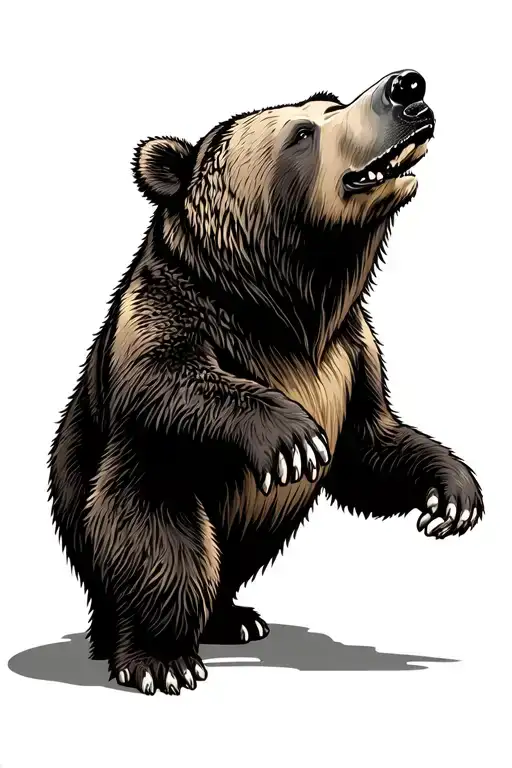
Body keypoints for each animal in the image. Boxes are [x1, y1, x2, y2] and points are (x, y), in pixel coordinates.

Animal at [49, 69, 483, 696]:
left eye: (332, 104)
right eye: (302, 133)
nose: (406, 86)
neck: (285, 307)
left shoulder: (350, 354)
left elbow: (370, 444)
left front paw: (451, 496)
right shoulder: (169, 322)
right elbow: (168, 401)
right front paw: (161, 661)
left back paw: (234, 618)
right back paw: (150, 643)